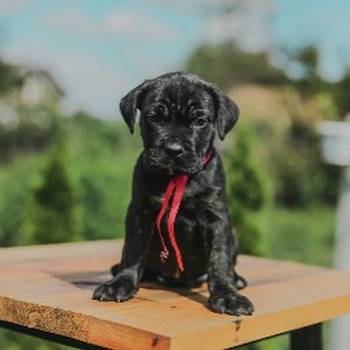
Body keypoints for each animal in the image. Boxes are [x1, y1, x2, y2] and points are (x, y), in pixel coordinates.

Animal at [93, 72, 254, 318]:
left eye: (200, 121)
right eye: (155, 117)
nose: (173, 149)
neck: (178, 179)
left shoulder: (216, 217)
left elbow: (219, 258)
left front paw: (227, 295)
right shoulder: (140, 212)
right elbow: (133, 251)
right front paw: (121, 283)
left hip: (233, 236)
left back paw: (237, 280)